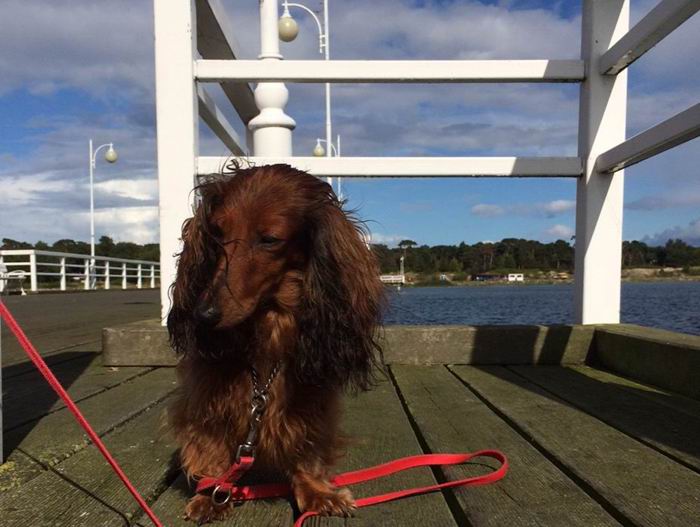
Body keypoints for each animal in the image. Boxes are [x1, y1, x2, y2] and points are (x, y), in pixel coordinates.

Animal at [167, 164, 385, 523]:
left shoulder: (310, 393)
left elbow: (307, 443)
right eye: (217, 233)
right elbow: (210, 441)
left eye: (269, 239)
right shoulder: (206, 389)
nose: (203, 315)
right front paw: (212, 493)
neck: (268, 325)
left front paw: (315, 490)